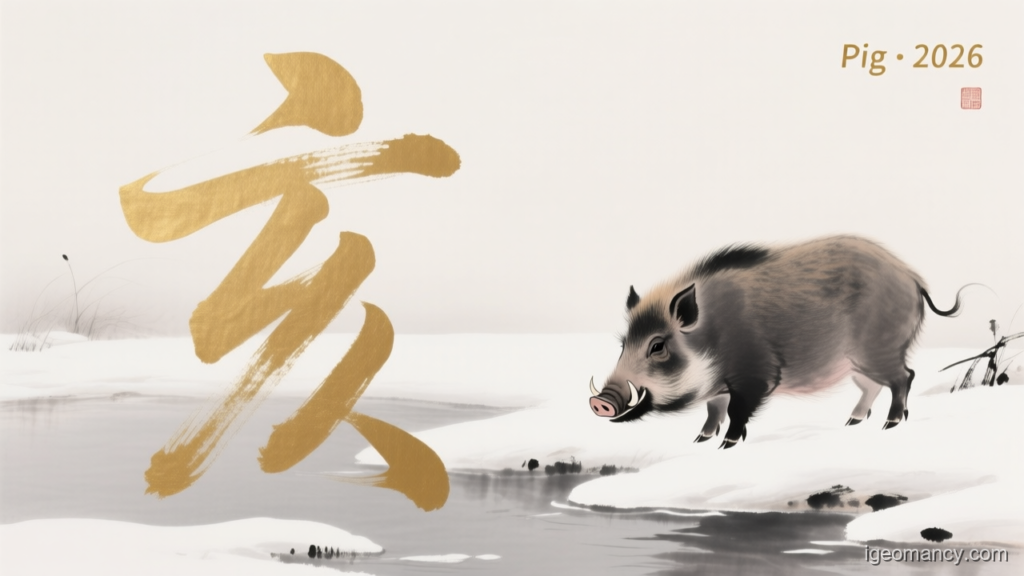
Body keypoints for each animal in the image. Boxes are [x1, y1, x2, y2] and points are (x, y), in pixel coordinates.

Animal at [589, 236, 967, 449]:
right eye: (624, 344)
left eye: (657, 346)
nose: (600, 402)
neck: (710, 341)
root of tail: (914, 280)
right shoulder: (719, 388)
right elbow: (714, 410)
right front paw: (699, 440)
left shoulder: (756, 376)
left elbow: (737, 411)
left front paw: (726, 446)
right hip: (856, 363)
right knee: (873, 387)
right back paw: (852, 422)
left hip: (879, 350)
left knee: (905, 377)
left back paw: (890, 424)